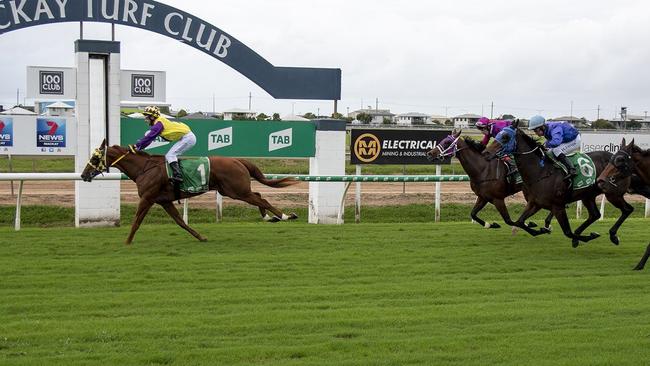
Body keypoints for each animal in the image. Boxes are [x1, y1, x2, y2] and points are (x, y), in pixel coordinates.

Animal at [79, 139, 298, 244]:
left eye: (96, 157)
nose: (83, 174)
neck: (144, 168)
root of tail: (238, 160)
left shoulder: (148, 198)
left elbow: (136, 221)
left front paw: (126, 242)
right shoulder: (164, 200)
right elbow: (180, 222)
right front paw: (201, 237)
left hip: (237, 191)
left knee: (262, 200)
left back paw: (285, 215)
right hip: (234, 190)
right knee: (259, 197)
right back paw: (270, 217)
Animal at [484, 127, 632, 247]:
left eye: (505, 137)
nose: (486, 152)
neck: (540, 171)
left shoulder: (558, 206)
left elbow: (567, 232)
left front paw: (589, 236)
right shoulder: (535, 203)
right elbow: (519, 221)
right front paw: (540, 229)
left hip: (613, 194)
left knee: (627, 209)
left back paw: (613, 236)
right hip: (588, 195)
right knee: (595, 215)